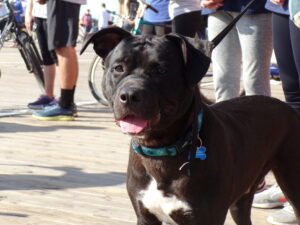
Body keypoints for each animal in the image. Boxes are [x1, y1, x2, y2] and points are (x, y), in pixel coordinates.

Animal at [80, 27, 300, 224]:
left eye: (161, 70)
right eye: (118, 68)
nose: (130, 95)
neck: (160, 150)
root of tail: (286, 107)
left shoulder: (205, 217)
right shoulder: (145, 216)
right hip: (242, 196)